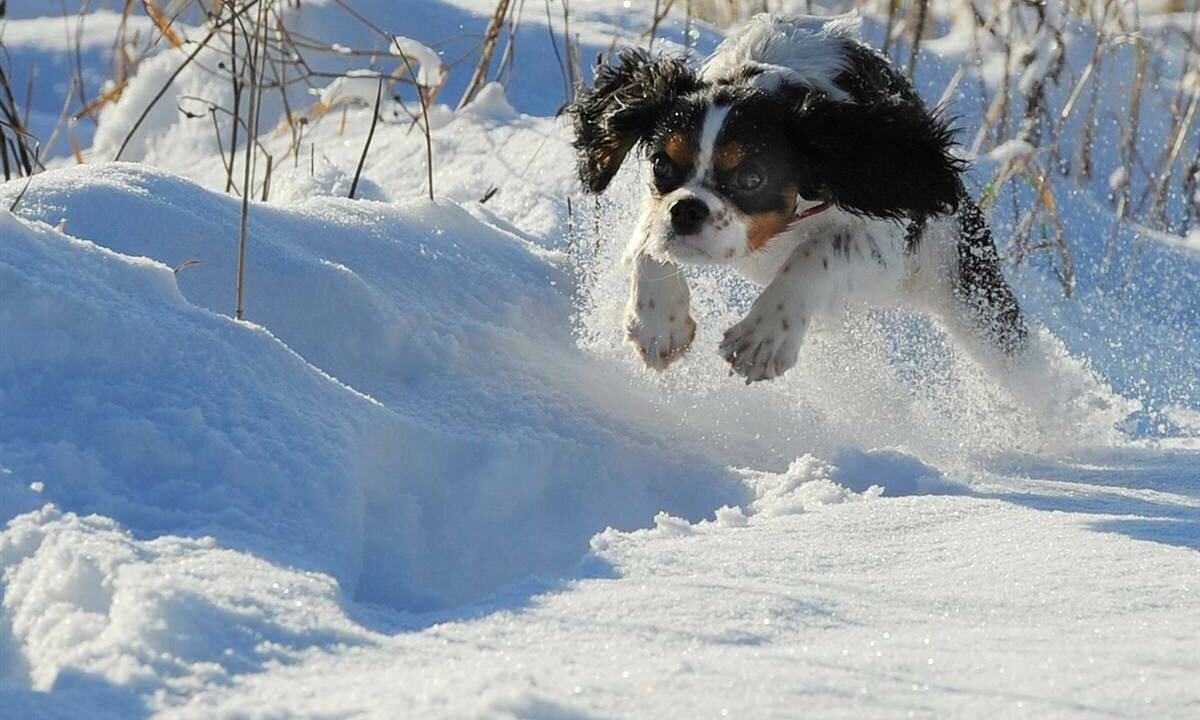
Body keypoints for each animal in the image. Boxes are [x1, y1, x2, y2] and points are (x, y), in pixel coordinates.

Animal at [568, 12, 1022, 381]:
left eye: (752, 178)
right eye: (661, 163)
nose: (687, 212)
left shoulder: (885, 238)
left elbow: (817, 253)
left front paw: (763, 338)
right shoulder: (660, 207)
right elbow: (649, 236)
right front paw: (659, 325)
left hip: (974, 305)